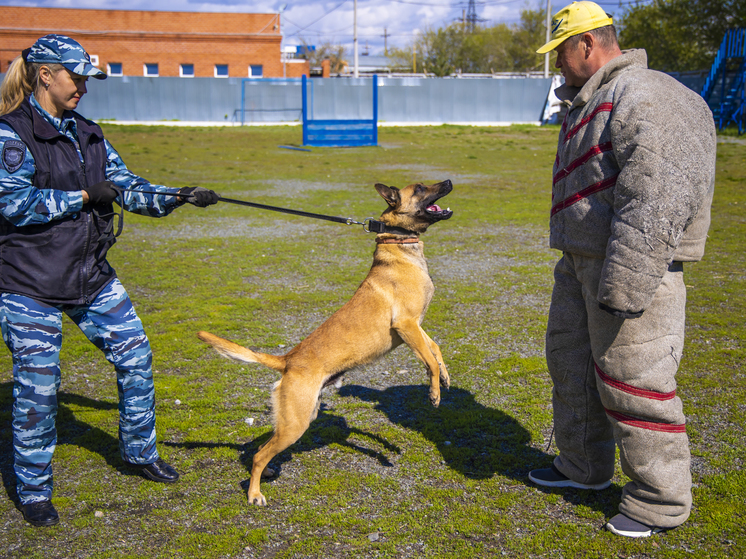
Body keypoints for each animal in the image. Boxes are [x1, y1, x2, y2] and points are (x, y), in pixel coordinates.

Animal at [198, 180, 450, 508]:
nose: (448, 182)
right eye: (420, 188)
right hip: (296, 424)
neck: (400, 244)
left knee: (260, 451)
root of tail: (288, 360)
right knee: (259, 456)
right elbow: (428, 359)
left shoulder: (416, 327)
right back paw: (254, 494)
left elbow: (436, 349)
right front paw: (433, 393)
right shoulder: (406, 325)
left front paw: (445, 377)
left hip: (294, 419)